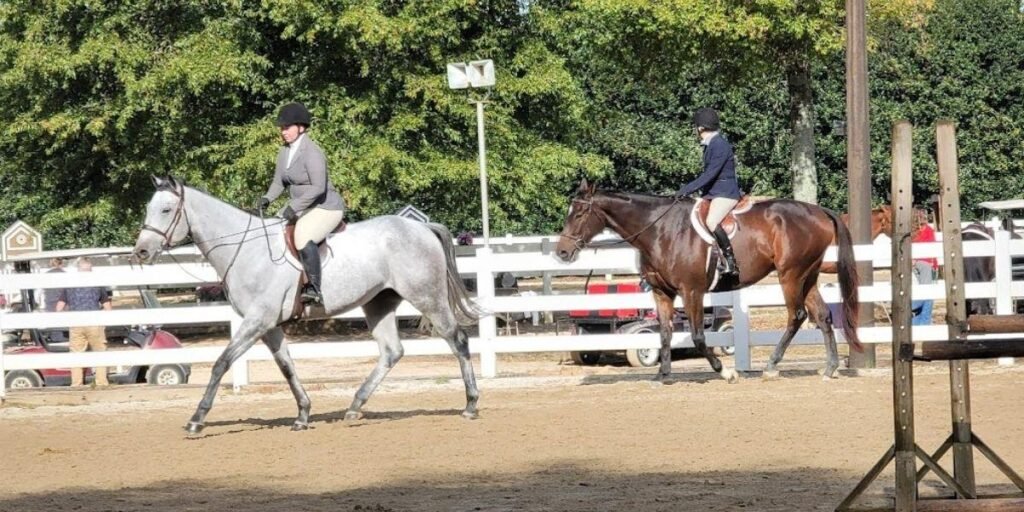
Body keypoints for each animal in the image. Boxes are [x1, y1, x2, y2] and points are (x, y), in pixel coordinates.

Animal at [134, 177, 481, 436]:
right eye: (148, 208)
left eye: (166, 209)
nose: (141, 252)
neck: (246, 249)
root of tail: (422, 228)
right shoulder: (268, 326)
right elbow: (287, 367)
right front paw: (302, 414)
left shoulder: (257, 321)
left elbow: (221, 363)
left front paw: (197, 419)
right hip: (378, 303)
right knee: (392, 351)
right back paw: (355, 407)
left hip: (427, 297)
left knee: (458, 340)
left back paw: (470, 405)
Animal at [557, 181, 860, 380]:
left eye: (580, 213)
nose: (562, 252)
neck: (659, 230)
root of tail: (819, 211)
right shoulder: (662, 292)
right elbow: (664, 332)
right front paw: (662, 374)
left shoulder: (692, 291)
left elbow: (698, 336)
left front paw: (725, 371)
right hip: (808, 276)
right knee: (823, 316)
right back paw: (829, 368)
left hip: (791, 275)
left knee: (796, 316)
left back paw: (772, 366)